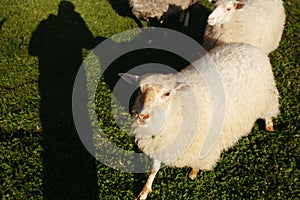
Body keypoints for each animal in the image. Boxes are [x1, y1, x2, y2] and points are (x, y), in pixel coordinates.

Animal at [120, 43, 280, 199]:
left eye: (167, 93)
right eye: (139, 90)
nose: (142, 116)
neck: (180, 107)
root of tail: (250, 47)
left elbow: (198, 161)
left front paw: (194, 171)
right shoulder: (161, 144)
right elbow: (154, 169)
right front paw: (145, 190)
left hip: (267, 95)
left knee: (269, 111)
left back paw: (269, 125)